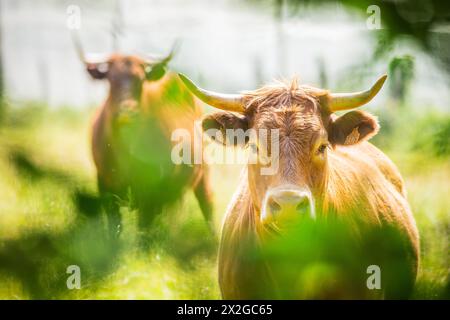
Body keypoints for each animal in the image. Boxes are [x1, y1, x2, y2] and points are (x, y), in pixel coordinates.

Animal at [74, 42, 214, 239]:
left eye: (140, 80)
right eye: (111, 79)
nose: (127, 111)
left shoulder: (151, 190)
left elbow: (144, 227)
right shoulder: (105, 183)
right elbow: (114, 226)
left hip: (204, 177)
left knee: (207, 209)